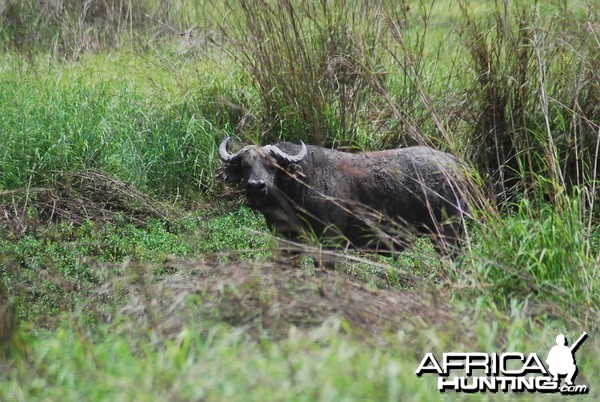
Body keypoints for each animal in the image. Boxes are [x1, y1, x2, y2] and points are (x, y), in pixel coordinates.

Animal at [218, 137, 472, 266]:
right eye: (245, 166)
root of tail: (456, 165)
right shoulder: (286, 240)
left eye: (273, 166)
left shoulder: (331, 242)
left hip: (448, 234)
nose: (256, 186)